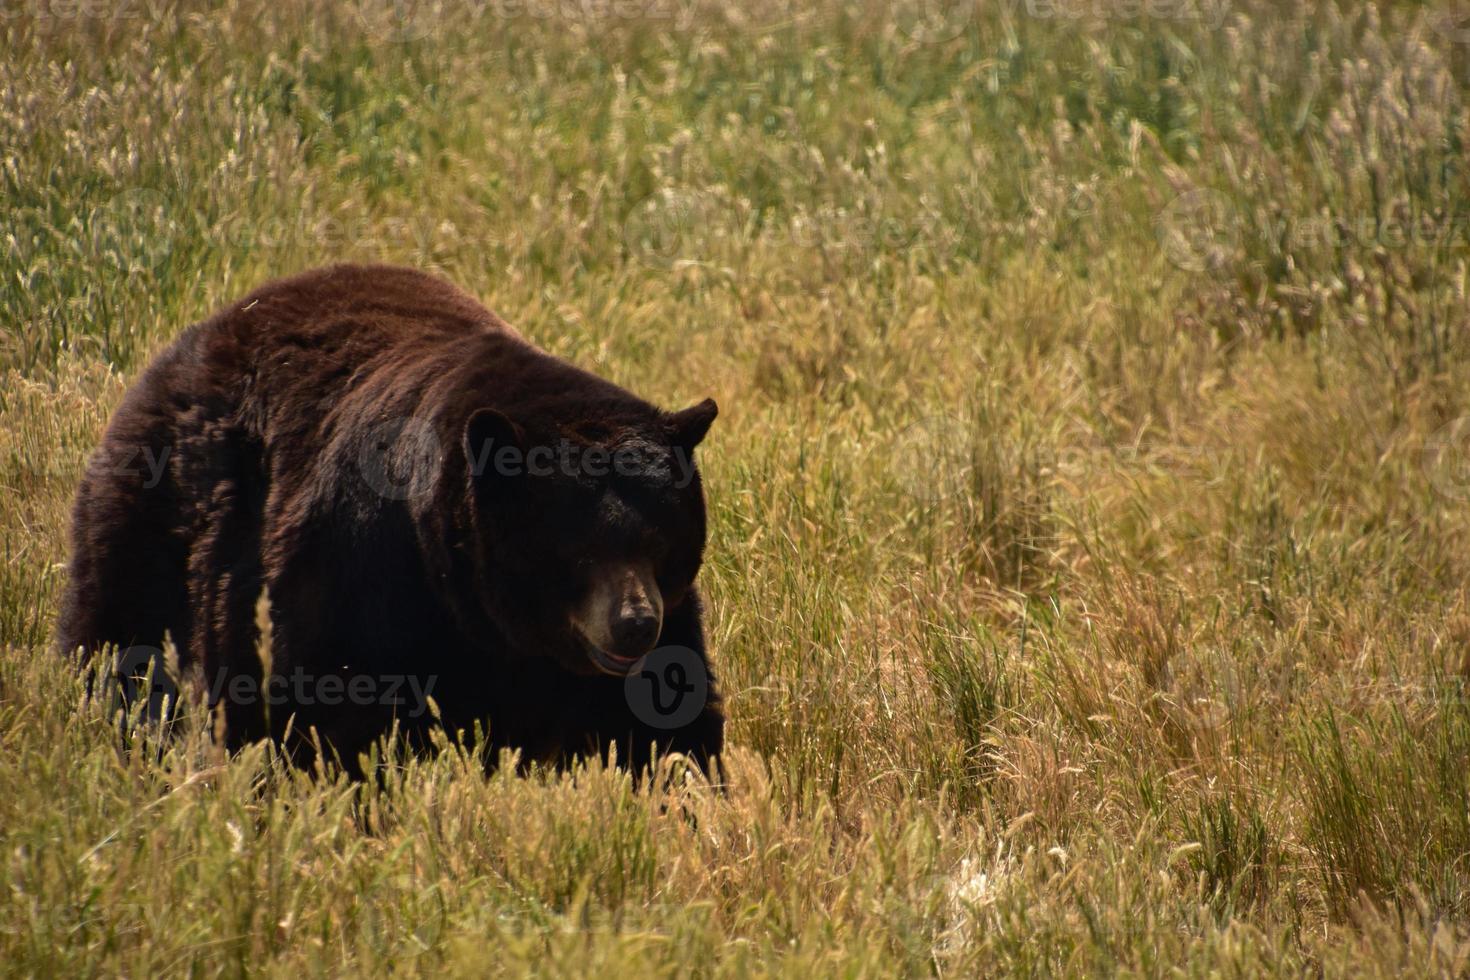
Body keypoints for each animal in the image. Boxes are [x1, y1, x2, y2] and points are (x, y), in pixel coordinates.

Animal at [57, 264, 723, 775]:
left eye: (662, 544)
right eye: (576, 550)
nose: (635, 624)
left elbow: (667, 722)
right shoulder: (361, 579)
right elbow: (333, 725)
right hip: (151, 533)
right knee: (122, 650)